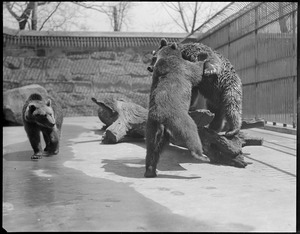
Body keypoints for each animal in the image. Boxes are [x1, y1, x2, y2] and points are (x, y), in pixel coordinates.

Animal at [145, 40, 212, 177]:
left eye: (152, 57)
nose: (149, 67)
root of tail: (159, 117)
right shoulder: (183, 68)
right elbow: (196, 70)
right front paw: (203, 57)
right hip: (178, 117)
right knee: (190, 131)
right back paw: (201, 155)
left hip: (153, 127)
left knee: (152, 147)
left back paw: (150, 170)